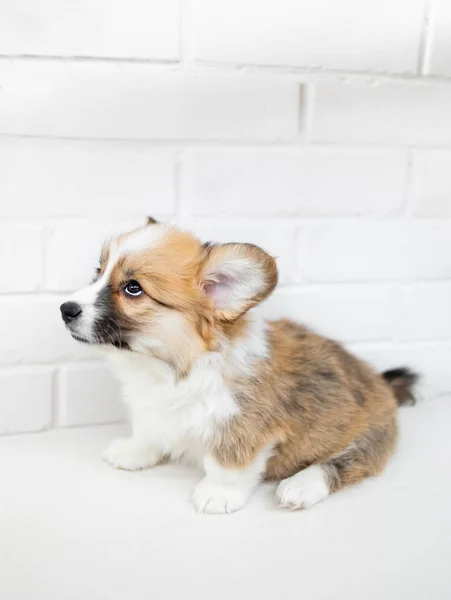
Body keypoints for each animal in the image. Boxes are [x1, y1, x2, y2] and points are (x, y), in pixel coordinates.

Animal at [60, 220, 416, 516]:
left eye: (133, 288)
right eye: (98, 271)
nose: (65, 309)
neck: (168, 366)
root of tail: (383, 384)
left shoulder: (243, 425)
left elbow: (227, 463)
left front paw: (218, 494)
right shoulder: (153, 410)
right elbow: (149, 432)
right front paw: (133, 452)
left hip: (368, 436)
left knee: (343, 464)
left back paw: (299, 486)